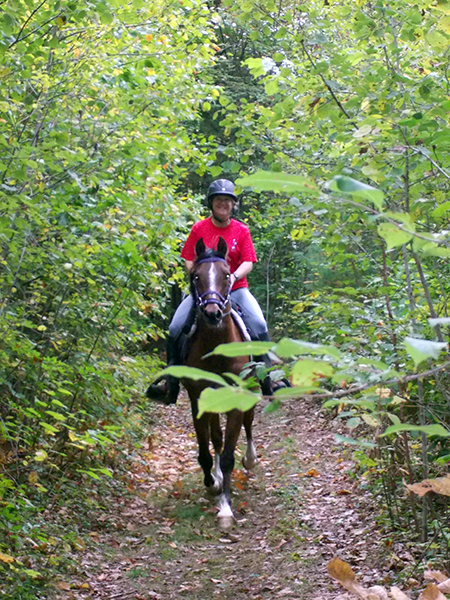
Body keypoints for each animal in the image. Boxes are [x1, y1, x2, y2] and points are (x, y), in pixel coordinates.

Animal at [184, 237, 258, 528]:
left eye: (227, 275)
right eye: (196, 276)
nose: (213, 313)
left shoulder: (237, 399)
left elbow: (228, 455)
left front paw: (226, 508)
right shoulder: (198, 399)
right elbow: (207, 448)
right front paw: (213, 483)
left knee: (248, 424)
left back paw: (250, 458)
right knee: (215, 437)